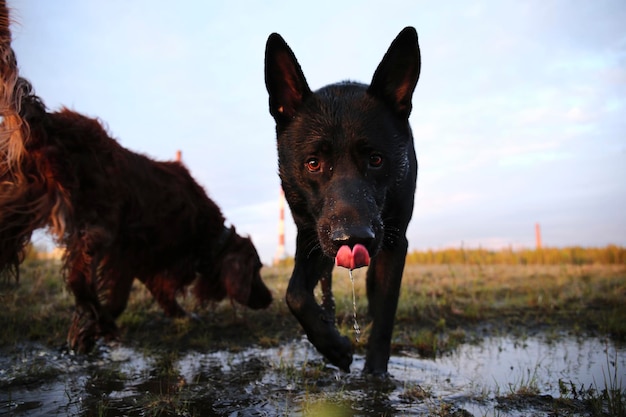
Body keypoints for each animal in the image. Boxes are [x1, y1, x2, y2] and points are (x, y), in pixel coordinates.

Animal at [0, 4, 270, 352]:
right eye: (257, 269)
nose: (270, 298)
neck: (202, 228)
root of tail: (49, 122)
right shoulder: (129, 251)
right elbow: (119, 299)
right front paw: (97, 327)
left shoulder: (147, 260)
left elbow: (161, 293)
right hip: (98, 226)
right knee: (78, 278)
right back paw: (95, 319)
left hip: (20, 207)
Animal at [264, 26, 420, 374]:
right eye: (313, 163)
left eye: (376, 160)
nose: (352, 238)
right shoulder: (311, 235)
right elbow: (295, 293)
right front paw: (332, 346)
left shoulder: (396, 241)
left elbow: (385, 314)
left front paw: (374, 374)